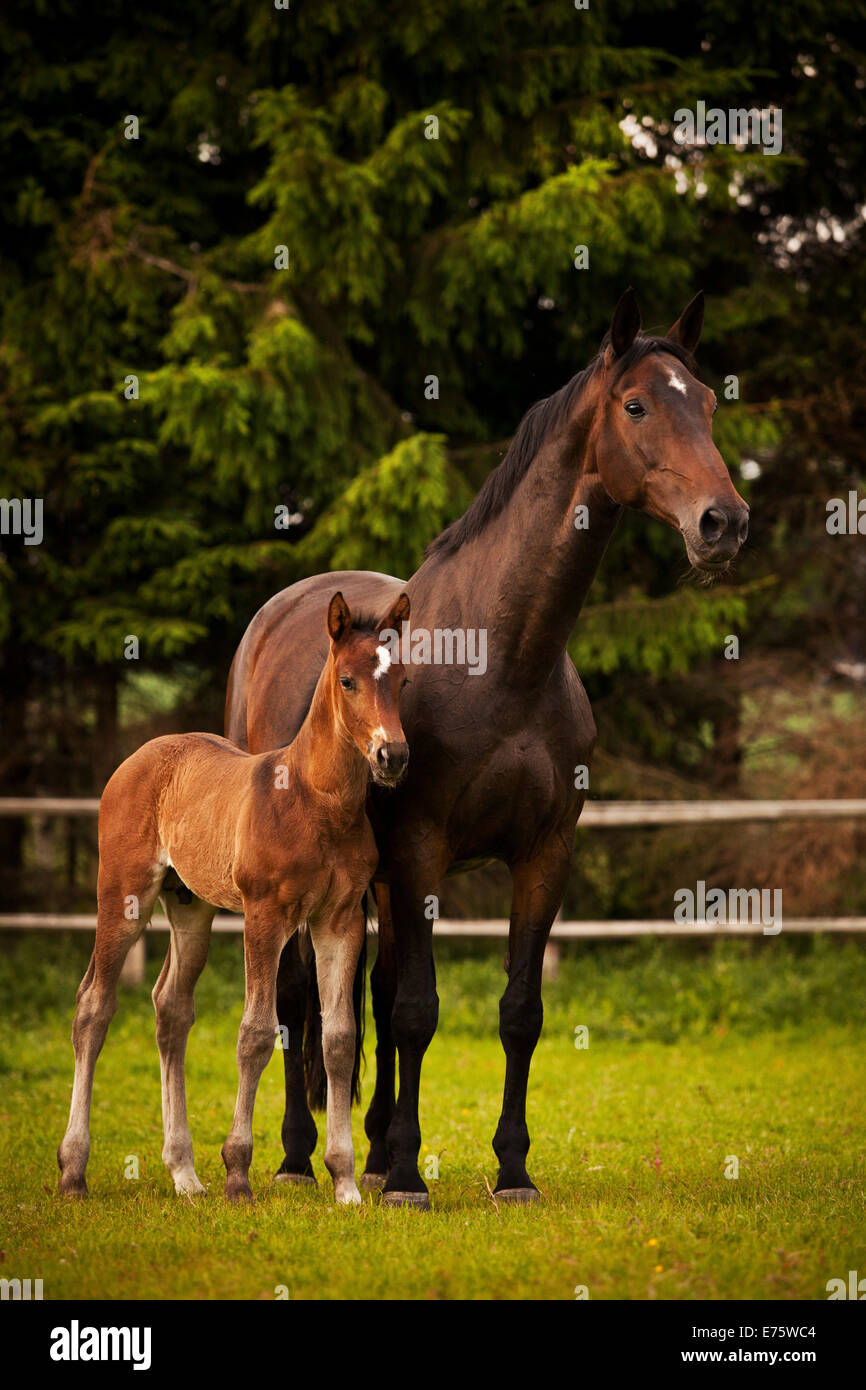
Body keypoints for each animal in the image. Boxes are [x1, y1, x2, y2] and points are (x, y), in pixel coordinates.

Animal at [57, 586, 408, 1206]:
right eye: (347, 680)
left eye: (403, 680)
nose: (393, 756)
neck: (317, 802)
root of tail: (142, 755)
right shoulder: (265, 916)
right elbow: (256, 1033)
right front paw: (239, 1175)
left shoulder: (338, 920)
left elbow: (339, 1039)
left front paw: (345, 1182)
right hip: (122, 894)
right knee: (94, 1006)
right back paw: (74, 1170)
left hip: (190, 908)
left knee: (171, 1009)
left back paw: (184, 1174)